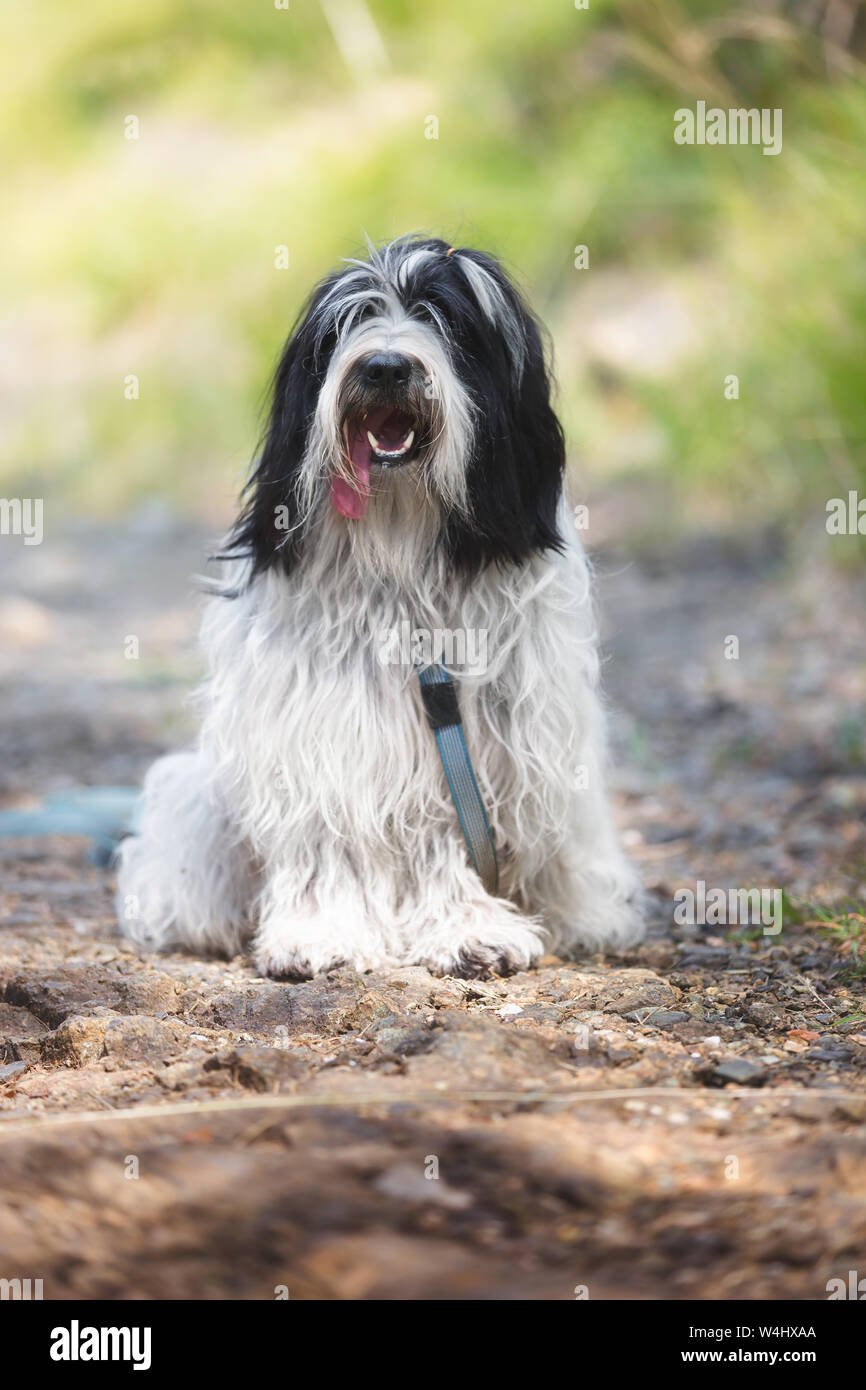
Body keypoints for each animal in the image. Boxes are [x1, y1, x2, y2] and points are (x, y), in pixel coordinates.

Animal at [116, 236, 644, 978]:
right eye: (348, 324)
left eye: (446, 319)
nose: (386, 366)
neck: (402, 556)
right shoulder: (323, 733)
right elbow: (328, 838)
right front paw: (320, 934)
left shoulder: (496, 738)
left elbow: (445, 836)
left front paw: (467, 928)